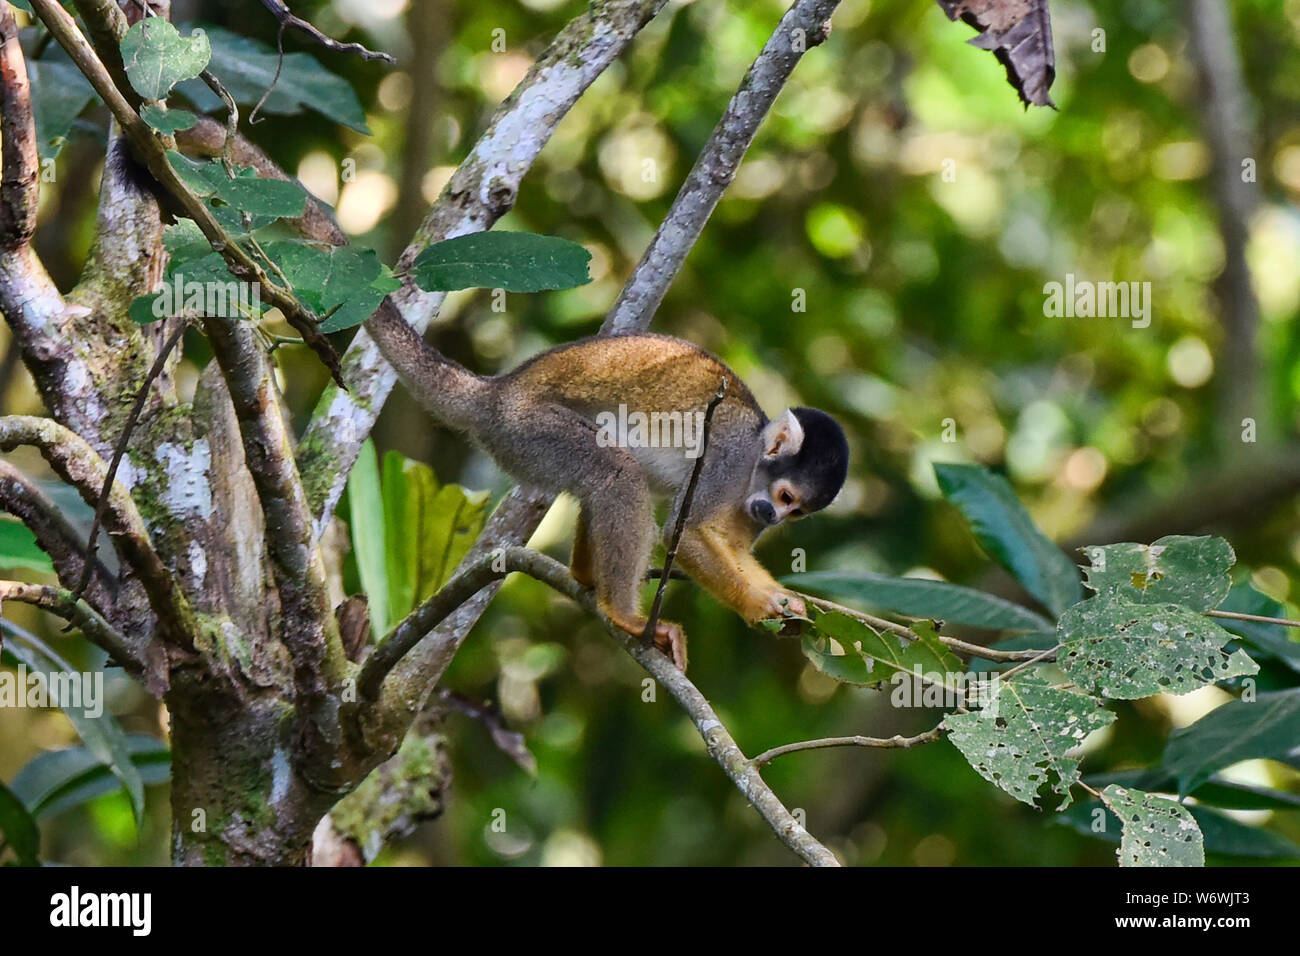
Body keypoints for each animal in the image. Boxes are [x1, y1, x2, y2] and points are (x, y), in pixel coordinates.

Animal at [366, 303, 852, 671]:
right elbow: (687, 534)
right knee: (617, 472)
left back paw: (586, 576)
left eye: (796, 511)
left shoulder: (746, 503)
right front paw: (759, 606)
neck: (753, 460)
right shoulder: (725, 460)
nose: (774, 516)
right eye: (786, 497)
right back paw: (623, 613)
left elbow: (730, 546)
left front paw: (786, 601)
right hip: (527, 430)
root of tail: (495, 393)